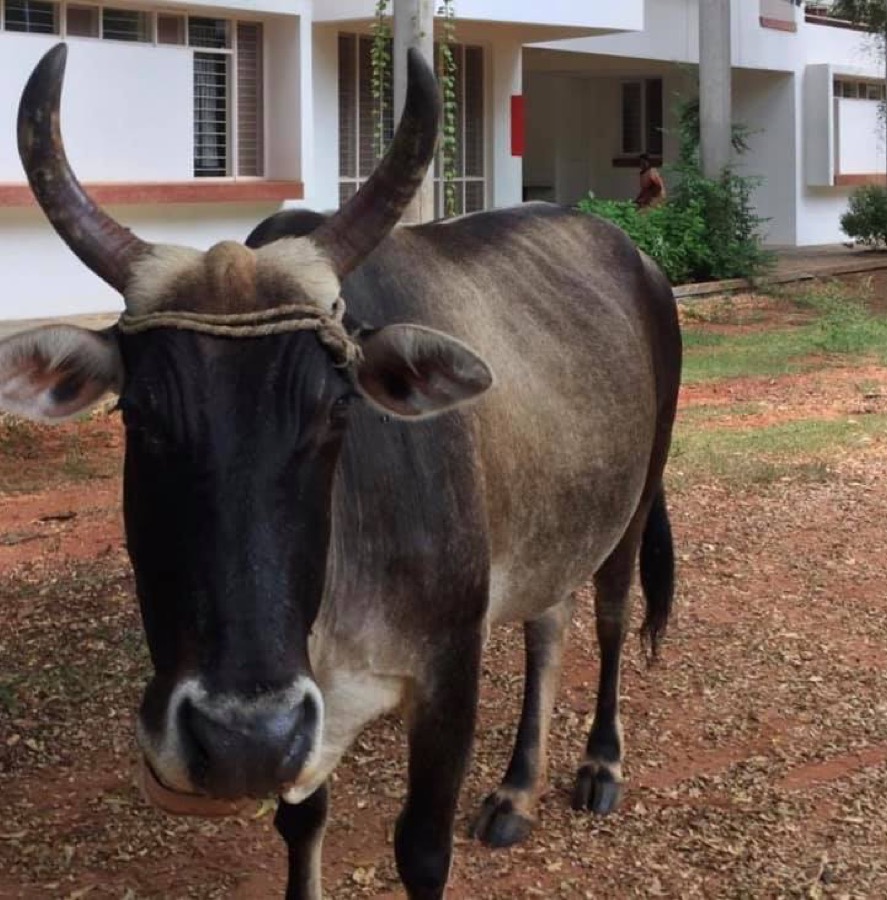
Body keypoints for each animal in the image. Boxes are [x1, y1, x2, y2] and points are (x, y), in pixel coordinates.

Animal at [0, 44, 681, 899]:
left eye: (334, 412)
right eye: (139, 416)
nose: (240, 739)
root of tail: (636, 258)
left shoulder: (448, 673)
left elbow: (421, 851)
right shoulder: (308, 716)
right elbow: (302, 824)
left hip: (634, 502)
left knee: (611, 616)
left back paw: (598, 764)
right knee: (547, 622)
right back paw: (517, 790)